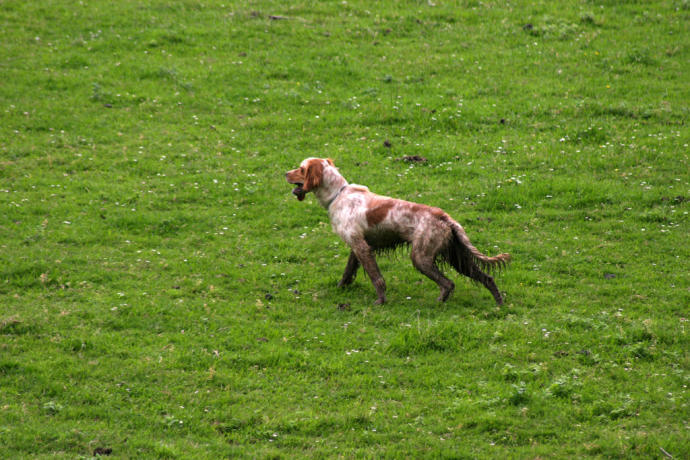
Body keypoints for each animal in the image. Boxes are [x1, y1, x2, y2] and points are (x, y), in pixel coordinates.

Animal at [282, 158, 508, 306]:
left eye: (301, 169)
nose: (285, 173)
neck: (339, 194)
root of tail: (444, 217)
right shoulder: (356, 246)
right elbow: (347, 272)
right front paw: (340, 288)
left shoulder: (362, 247)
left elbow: (377, 278)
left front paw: (380, 301)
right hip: (455, 256)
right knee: (487, 278)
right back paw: (499, 303)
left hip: (421, 257)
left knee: (448, 283)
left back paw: (439, 302)